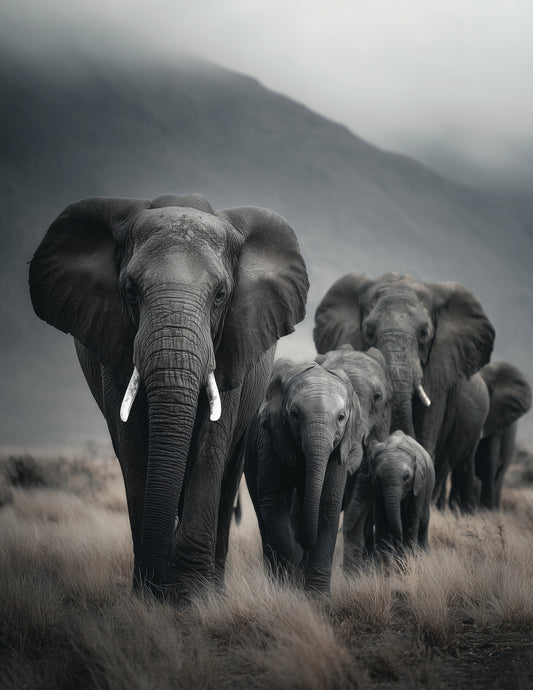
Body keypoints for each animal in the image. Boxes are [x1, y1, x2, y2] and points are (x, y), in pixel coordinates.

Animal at [29, 194, 308, 597]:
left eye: (220, 295)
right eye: (131, 290)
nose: (161, 584)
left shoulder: (231, 349)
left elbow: (211, 446)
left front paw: (191, 596)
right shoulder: (115, 345)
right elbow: (133, 447)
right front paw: (150, 592)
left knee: (228, 476)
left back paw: (214, 587)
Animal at [244, 359, 361, 592]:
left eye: (341, 418)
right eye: (294, 415)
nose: (304, 540)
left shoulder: (338, 451)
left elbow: (327, 504)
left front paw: (317, 596)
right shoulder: (271, 438)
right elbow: (274, 501)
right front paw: (287, 587)